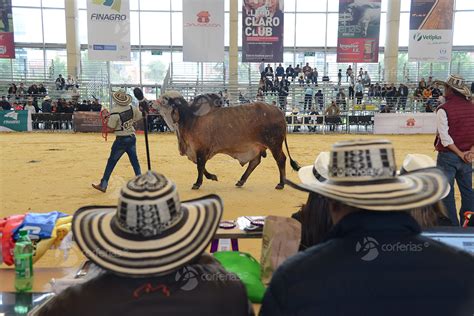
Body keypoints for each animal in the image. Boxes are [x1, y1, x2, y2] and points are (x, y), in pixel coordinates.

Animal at [134, 87, 300, 189]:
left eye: (165, 99)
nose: (149, 103)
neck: (190, 119)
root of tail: (278, 110)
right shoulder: (197, 151)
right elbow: (201, 166)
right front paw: (212, 176)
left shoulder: (201, 149)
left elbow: (200, 166)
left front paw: (197, 183)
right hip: (259, 146)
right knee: (254, 162)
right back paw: (241, 180)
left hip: (274, 144)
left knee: (281, 160)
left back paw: (281, 183)